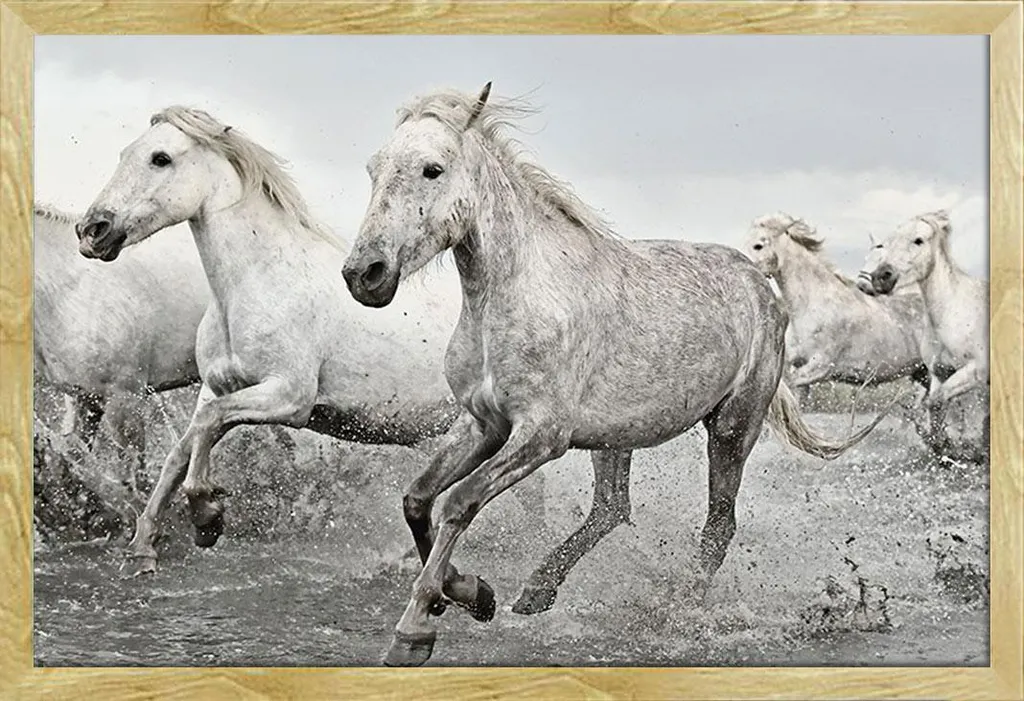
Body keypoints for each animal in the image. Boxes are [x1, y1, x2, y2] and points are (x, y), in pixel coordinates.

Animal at [342, 83, 898, 666]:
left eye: (433, 169)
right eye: (374, 168)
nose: (365, 275)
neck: (513, 298)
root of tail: (763, 288)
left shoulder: (540, 436)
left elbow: (458, 502)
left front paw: (415, 630)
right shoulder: (483, 424)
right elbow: (418, 500)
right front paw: (476, 594)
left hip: (731, 429)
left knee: (718, 524)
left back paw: (677, 613)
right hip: (614, 436)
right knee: (612, 509)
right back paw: (537, 591)